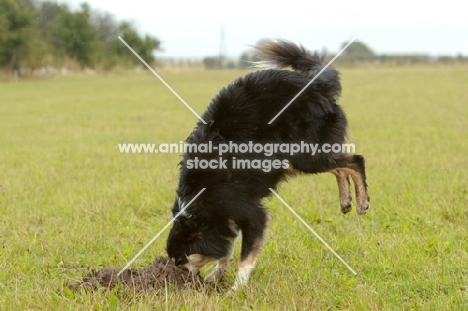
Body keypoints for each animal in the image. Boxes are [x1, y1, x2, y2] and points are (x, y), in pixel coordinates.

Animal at [165, 39, 370, 290]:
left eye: (181, 260)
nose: (179, 279)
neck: (200, 201)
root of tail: (316, 84)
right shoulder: (226, 219)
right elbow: (227, 251)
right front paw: (216, 277)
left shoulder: (247, 211)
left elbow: (244, 256)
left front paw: (235, 290)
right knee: (340, 166)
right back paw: (346, 201)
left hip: (303, 154)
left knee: (355, 161)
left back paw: (362, 202)